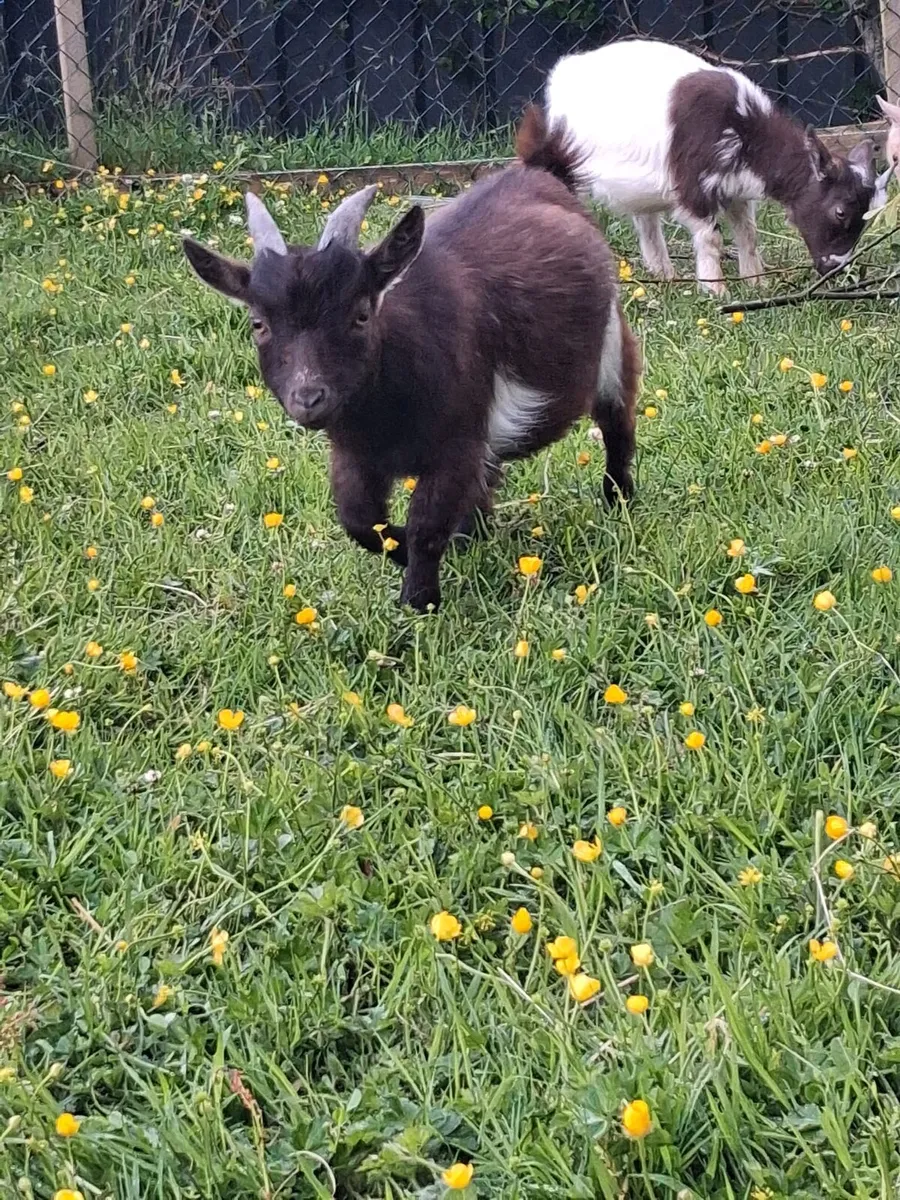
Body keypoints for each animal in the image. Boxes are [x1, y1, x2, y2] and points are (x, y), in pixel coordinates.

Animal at [182, 108, 639, 613]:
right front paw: (405, 554)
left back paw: (618, 501)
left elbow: (426, 526)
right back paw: (475, 533)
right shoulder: (355, 455)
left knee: (617, 422)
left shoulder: (456, 445)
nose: (309, 397)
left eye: (362, 313)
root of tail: (543, 170)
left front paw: (420, 600)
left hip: (611, 344)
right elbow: (361, 521)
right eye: (258, 323)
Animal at [546, 39, 888, 294]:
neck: (744, 128)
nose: (835, 267)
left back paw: (663, 274)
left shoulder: (736, 188)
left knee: (646, 220)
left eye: (866, 217)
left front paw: (756, 283)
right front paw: (715, 290)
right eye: (840, 211)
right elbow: (711, 237)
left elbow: (748, 233)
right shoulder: (694, 184)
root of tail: (565, 70)